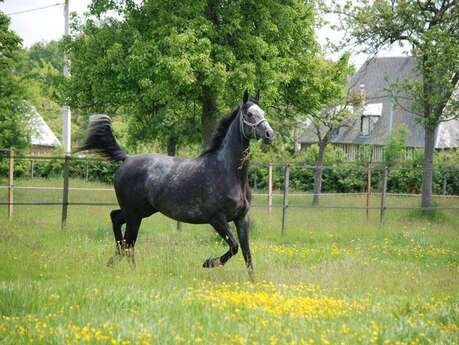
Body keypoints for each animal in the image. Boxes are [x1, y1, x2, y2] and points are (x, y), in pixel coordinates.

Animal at [77, 90, 274, 276]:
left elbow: (247, 255)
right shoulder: (217, 219)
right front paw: (208, 262)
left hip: (141, 211)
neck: (226, 171)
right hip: (134, 214)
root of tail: (127, 158)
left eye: (263, 112)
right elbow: (234, 247)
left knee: (117, 222)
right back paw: (129, 269)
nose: (269, 134)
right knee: (128, 241)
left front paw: (252, 282)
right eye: (249, 114)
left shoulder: (241, 219)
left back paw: (115, 262)